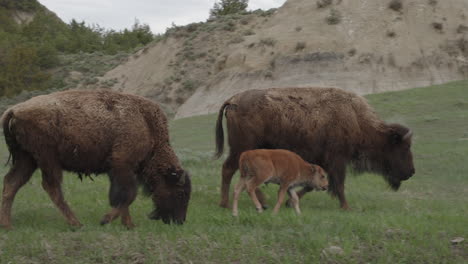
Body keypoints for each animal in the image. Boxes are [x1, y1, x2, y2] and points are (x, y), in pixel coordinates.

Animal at [0, 89, 190, 229]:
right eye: (180, 192)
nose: (180, 221)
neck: (146, 124)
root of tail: (13, 110)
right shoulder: (123, 164)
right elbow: (128, 196)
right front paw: (106, 220)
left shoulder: (118, 170)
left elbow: (122, 197)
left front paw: (128, 225)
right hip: (47, 159)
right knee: (51, 186)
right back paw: (76, 224)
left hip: (27, 159)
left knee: (12, 182)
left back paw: (7, 225)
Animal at [214, 87, 414, 209]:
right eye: (402, 148)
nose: (412, 172)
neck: (356, 118)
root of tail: (233, 99)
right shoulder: (337, 160)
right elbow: (338, 184)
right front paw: (346, 207)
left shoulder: (325, 162)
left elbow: (316, 184)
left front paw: (289, 202)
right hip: (242, 148)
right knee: (228, 169)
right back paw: (225, 203)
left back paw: (260, 203)